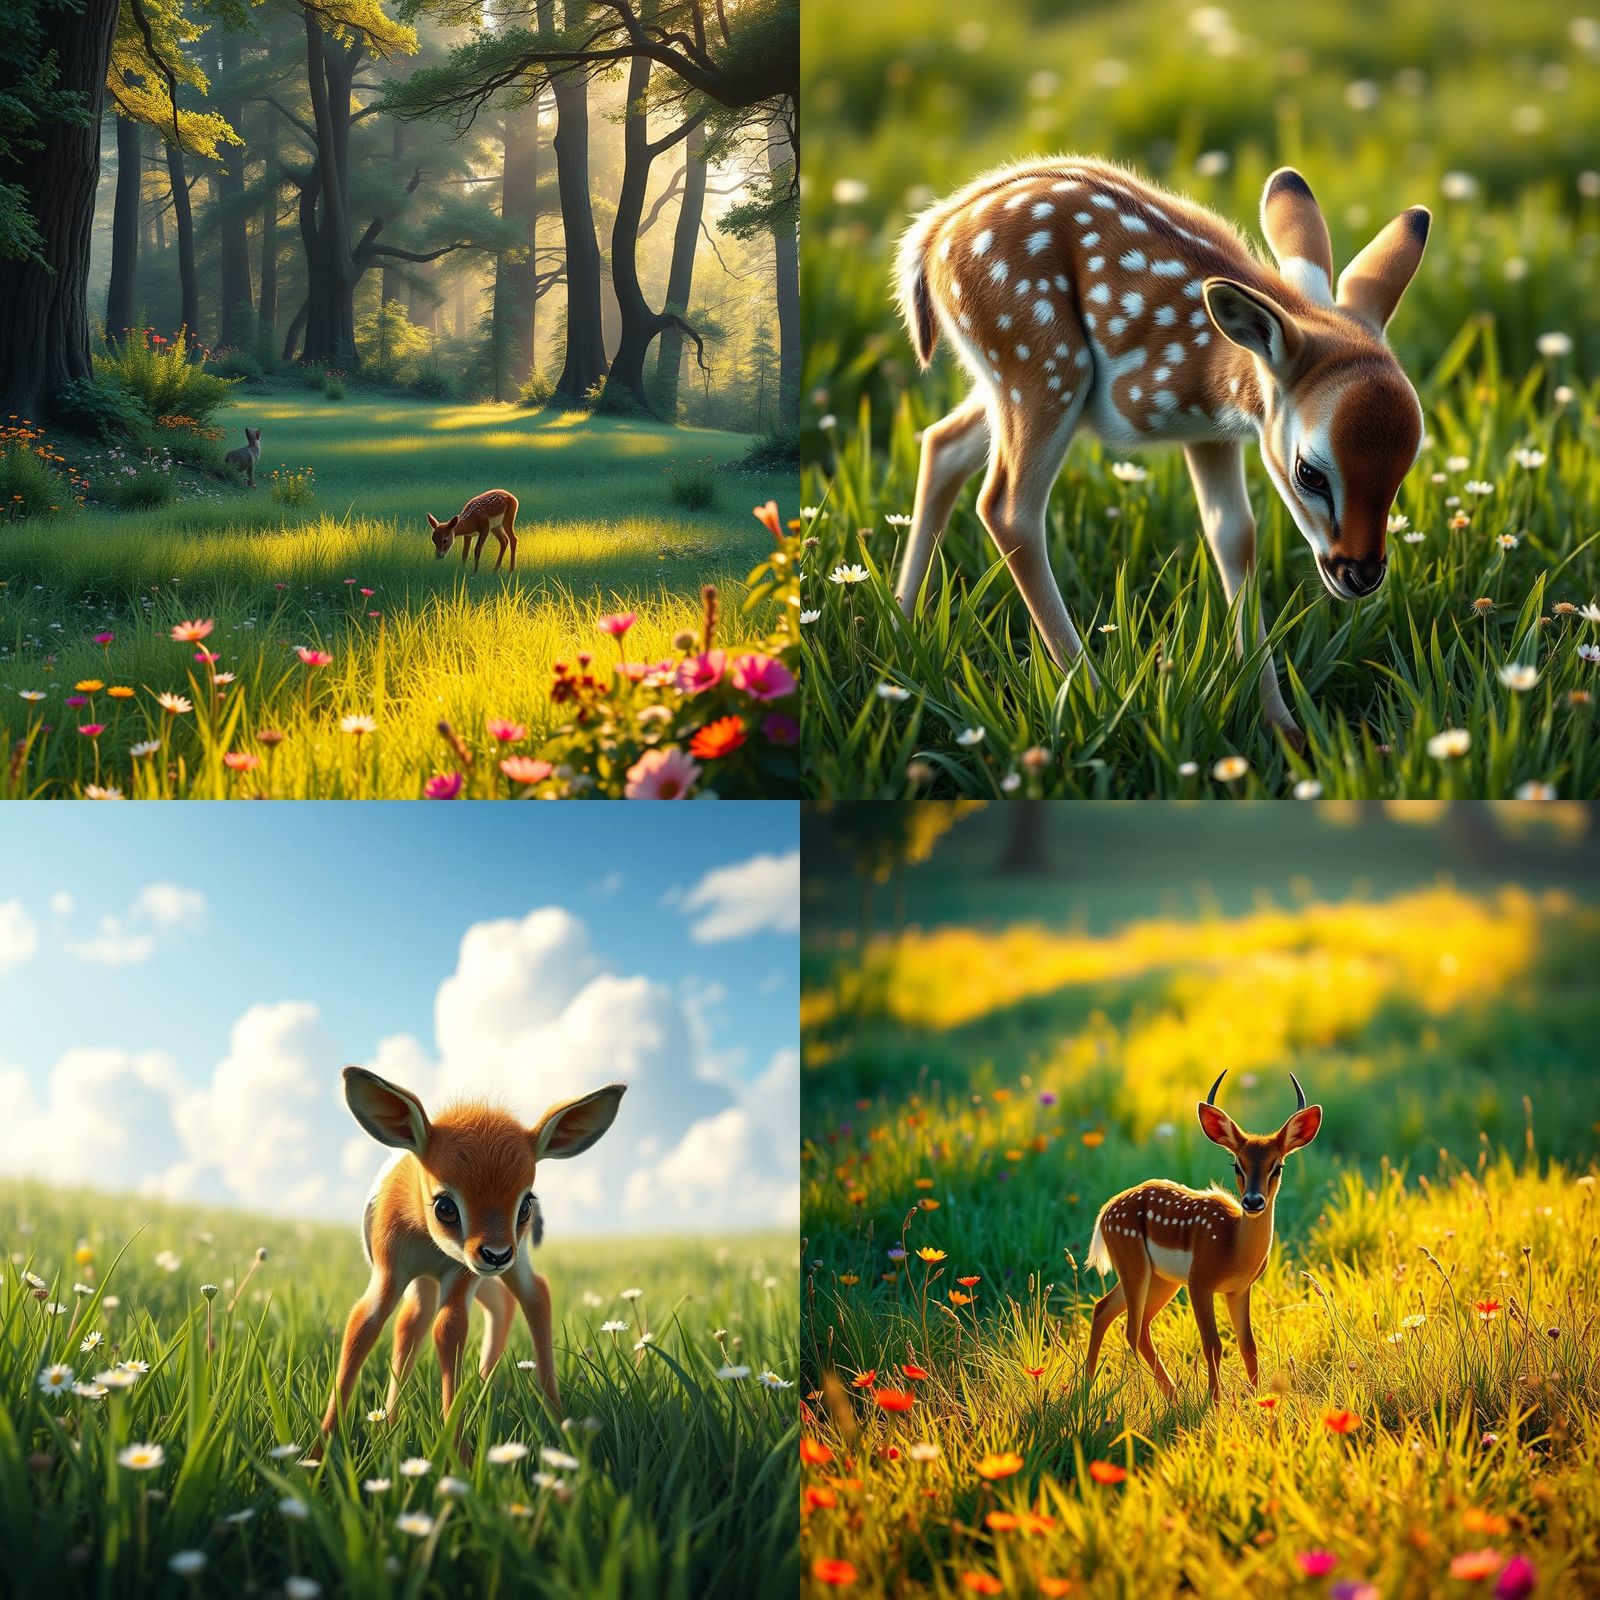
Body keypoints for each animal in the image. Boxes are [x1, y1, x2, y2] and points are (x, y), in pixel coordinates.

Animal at [316, 1066, 625, 1455]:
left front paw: (457, 1457)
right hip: (448, 1278)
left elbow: (449, 1329)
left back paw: (555, 1419)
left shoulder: (461, 1270)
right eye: (445, 1206)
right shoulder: (392, 1270)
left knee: (534, 1293)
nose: (495, 1253)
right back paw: (465, 1393)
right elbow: (365, 1323)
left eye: (525, 1204)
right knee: (428, 1317)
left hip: (505, 1266)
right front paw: (316, 1455)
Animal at [893, 158, 1430, 743]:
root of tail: (933, 236)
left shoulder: (1210, 435)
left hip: (1001, 382)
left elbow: (1233, 536)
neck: (1218, 374)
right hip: (1040, 365)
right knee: (1007, 509)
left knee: (941, 442)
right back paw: (1098, 702)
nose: (1362, 575)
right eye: (1309, 472)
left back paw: (902, 625)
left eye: (1407, 465)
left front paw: (1283, 728)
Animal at [1083, 1070, 1322, 1404]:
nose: (1253, 1201)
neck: (1233, 1247)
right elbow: (1214, 1344)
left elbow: (1248, 1345)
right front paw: (1216, 1401)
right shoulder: (1200, 1281)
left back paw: (1094, 1387)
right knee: (1130, 1326)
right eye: (1237, 1164)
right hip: (1132, 1258)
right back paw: (1167, 1394)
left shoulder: (1240, 1288)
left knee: (1110, 1312)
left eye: (1278, 1167)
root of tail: (1105, 1211)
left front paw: (1255, 1398)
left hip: (1162, 1278)